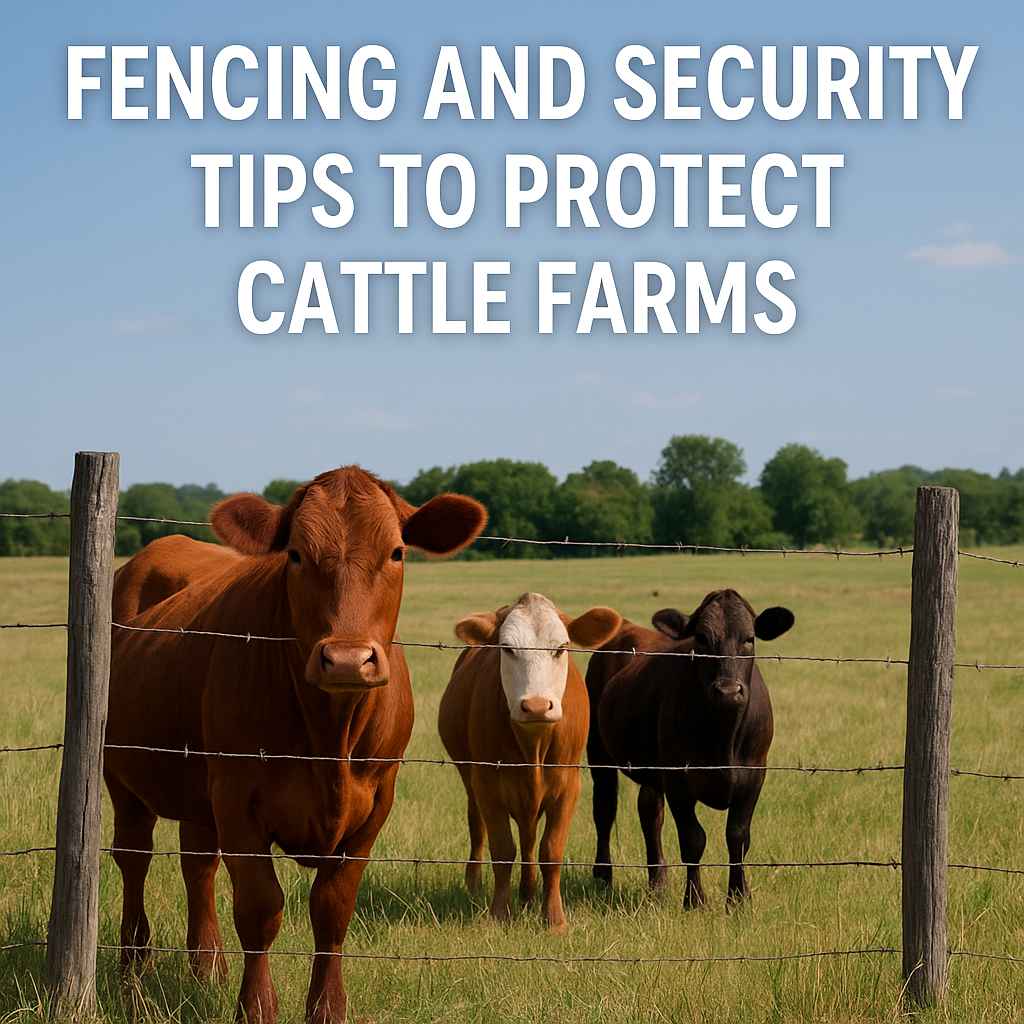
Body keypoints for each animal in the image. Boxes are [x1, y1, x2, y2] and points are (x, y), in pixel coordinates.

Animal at [104, 466, 486, 1024]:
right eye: (297, 555)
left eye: (397, 552)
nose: (347, 660)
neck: (330, 738)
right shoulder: (238, 796)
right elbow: (260, 908)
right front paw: (257, 1008)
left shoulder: (376, 802)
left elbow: (333, 909)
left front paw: (327, 1008)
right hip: (122, 775)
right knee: (133, 859)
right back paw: (134, 967)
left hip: (200, 790)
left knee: (198, 863)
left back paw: (207, 967)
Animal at [438, 593, 621, 931]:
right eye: (507, 649)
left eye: (561, 647)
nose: (536, 705)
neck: (533, 745)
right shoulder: (487, 785)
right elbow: (502, 849)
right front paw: (500, 913)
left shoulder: (568, 786)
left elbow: (551, 849)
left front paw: (554, 918)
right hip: (470, 780)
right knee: (478, 827)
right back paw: (477, 883)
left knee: (529, 836)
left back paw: (529, 891)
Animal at [586, 590, 794, 908]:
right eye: (702, 638)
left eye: (749, 638)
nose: (728, 690)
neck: (724, 738)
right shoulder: (678, 780)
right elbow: (693, 839)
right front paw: (695, 900)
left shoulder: (754, 775)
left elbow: (738, 837)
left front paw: (738, 897)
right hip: (599, 754)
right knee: (604, 809)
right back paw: (603, 875)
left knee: (650, 814)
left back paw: (658, 881)